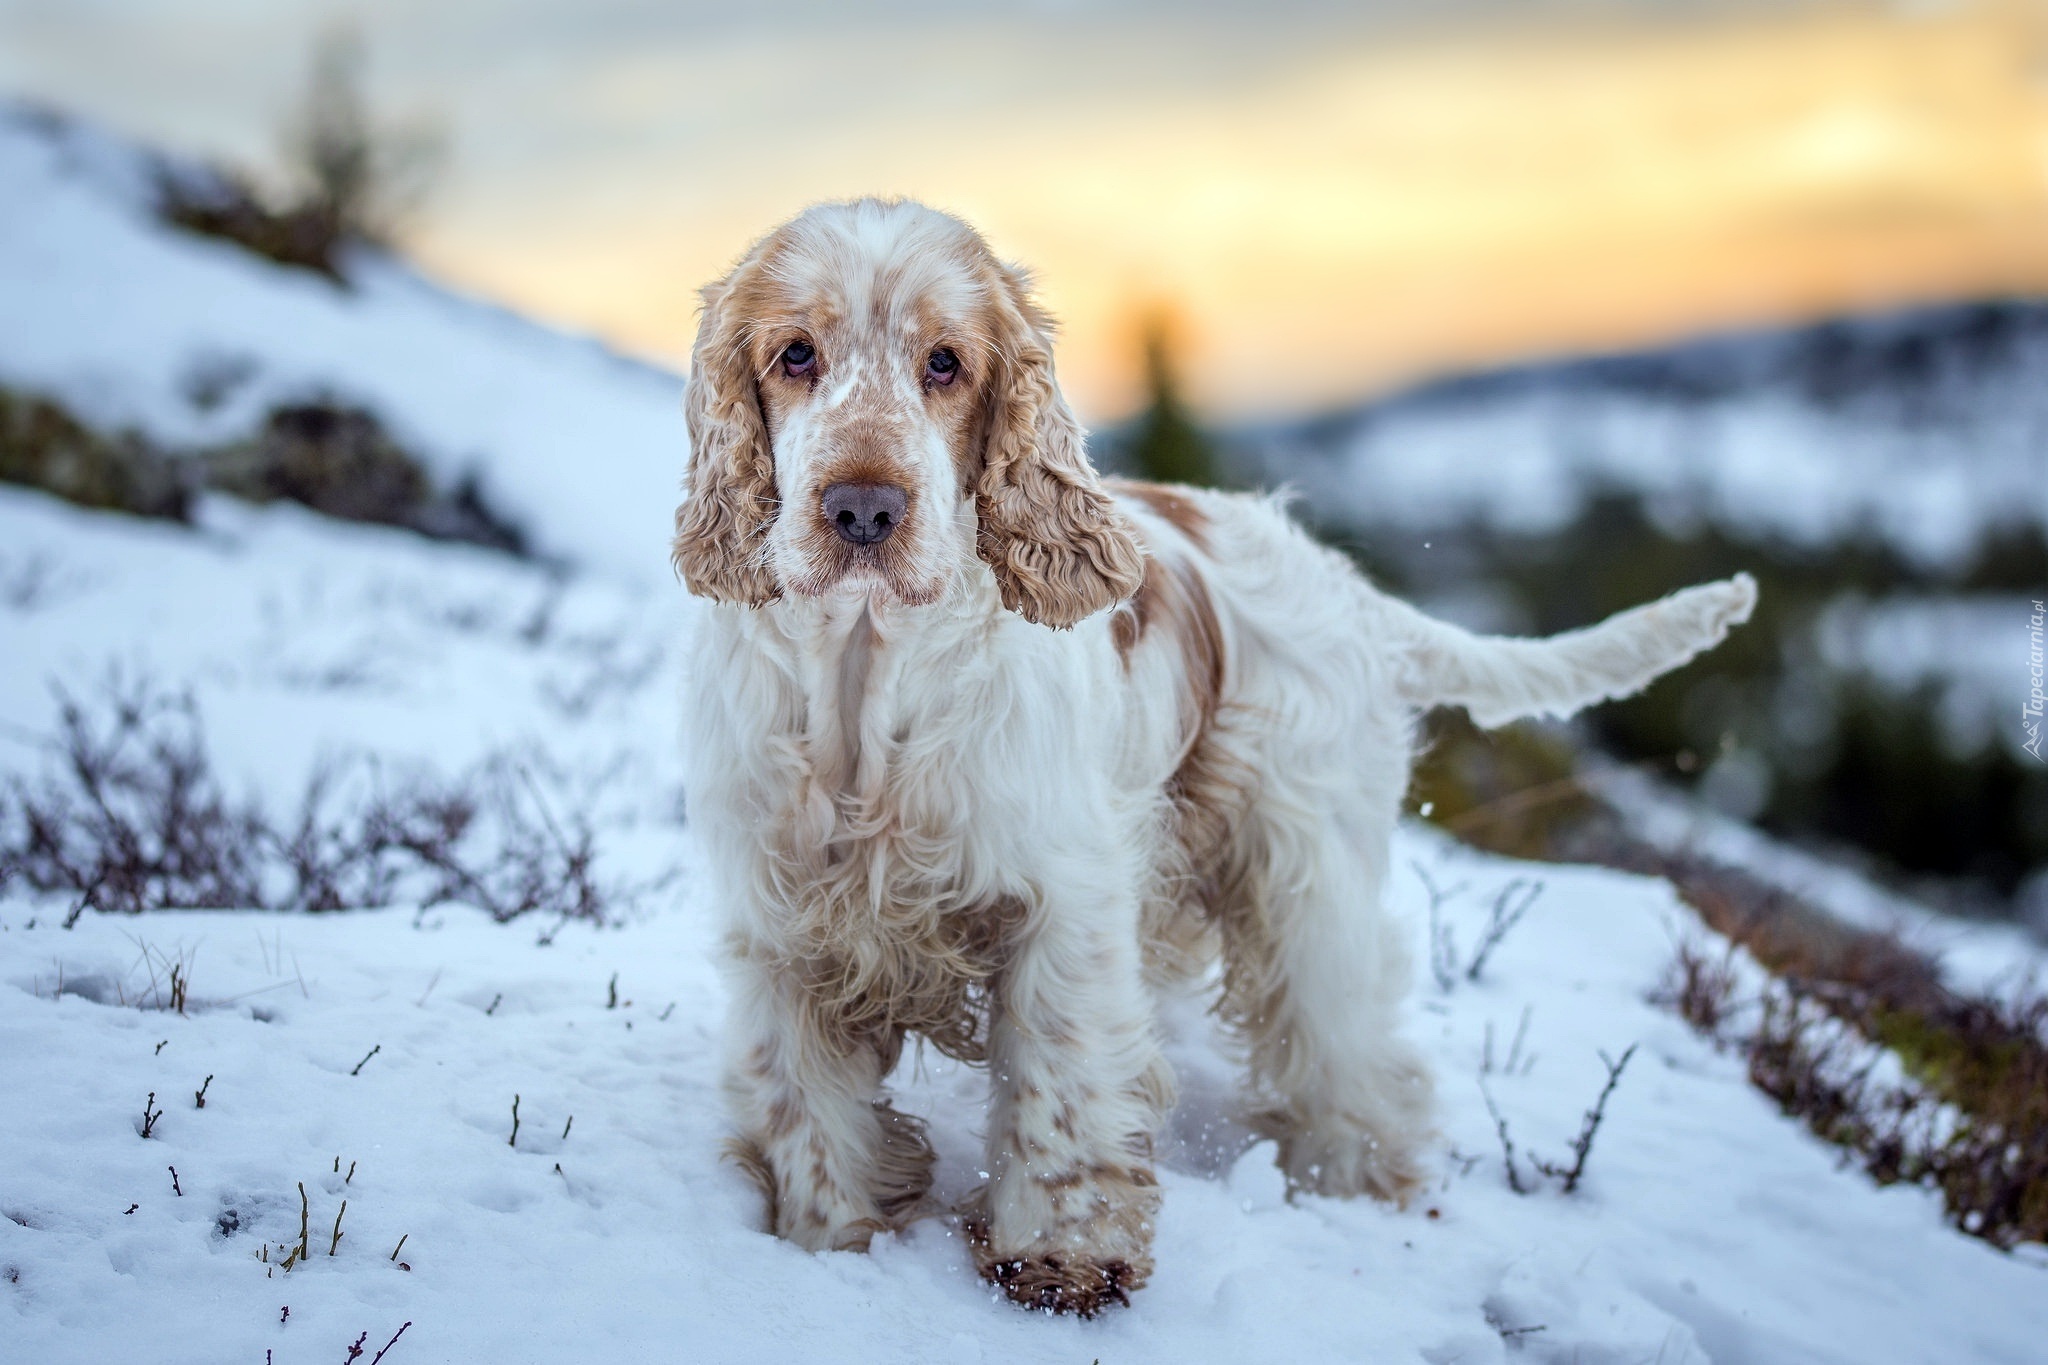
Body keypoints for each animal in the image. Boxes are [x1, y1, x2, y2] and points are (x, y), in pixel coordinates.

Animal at [675, 200, 1761, 1309]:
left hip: (1305, 878)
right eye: (795, 353)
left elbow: (1064, 1087)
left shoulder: (1058, 904)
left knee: (1352, 1054)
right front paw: (830, 1241)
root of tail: (1344, 588)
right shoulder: (786, 922)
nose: (862, 508)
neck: (867, 680)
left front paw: (1059, 1260)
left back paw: (1358, 1185)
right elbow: (809, 1112)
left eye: (945, 362)